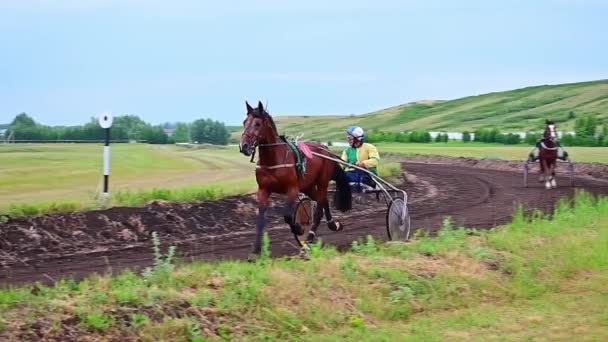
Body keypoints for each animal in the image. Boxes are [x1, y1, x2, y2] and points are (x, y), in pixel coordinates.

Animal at [238, 100, 352, 260]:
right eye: (244, 122)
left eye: (258, 124)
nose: (244, 146)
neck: (273, 160)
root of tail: (325, 149)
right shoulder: (263, 190)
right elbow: (260, 220)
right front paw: (255, 251)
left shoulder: (292, 189)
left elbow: (287, 216)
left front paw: (298, 228)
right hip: (308, 186)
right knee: (322, 201)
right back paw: (331, 225)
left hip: (322, 181)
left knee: (320, 206)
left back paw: (309, 238)